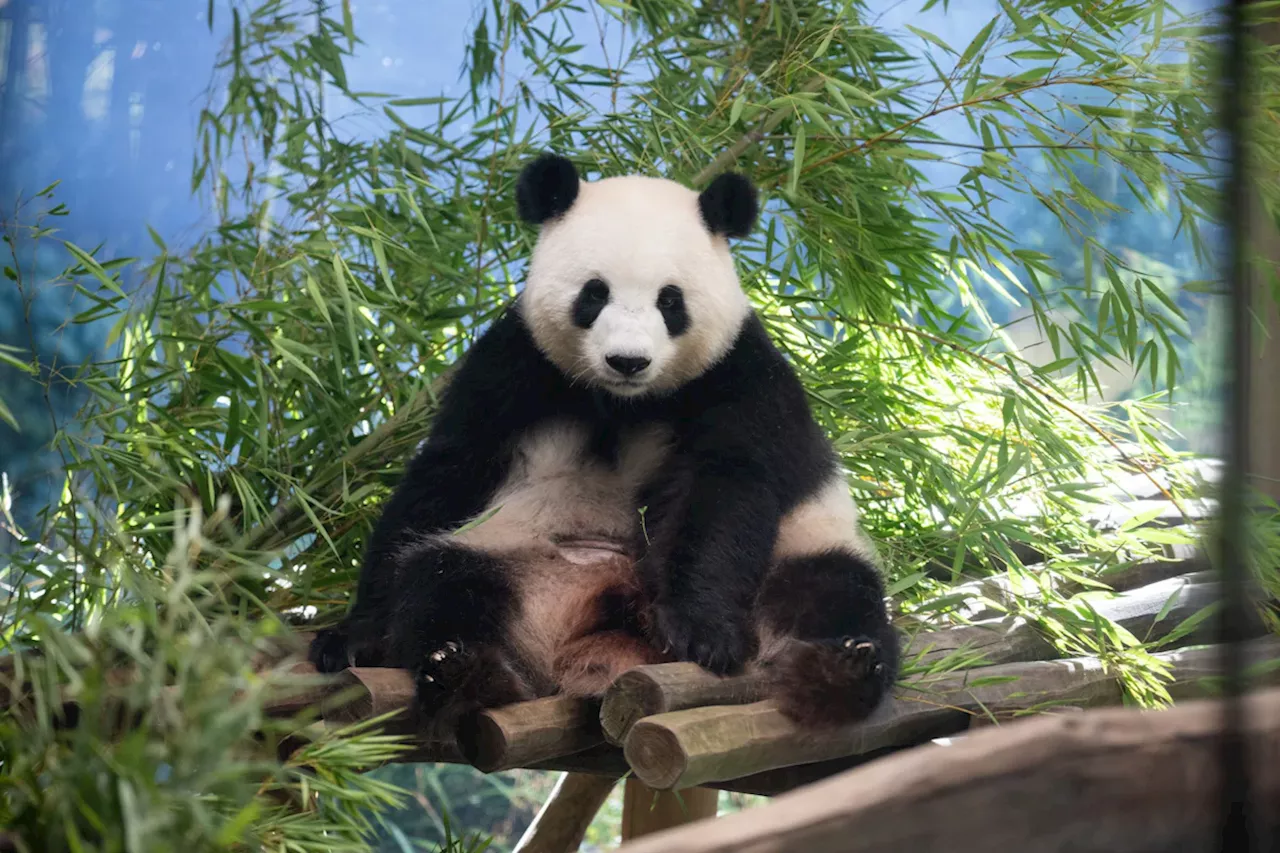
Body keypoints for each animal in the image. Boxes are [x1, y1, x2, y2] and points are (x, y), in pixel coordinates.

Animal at [312, 151, 901, 732]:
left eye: (671, 301)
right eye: (594, 294)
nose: (628, 360)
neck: (624, 401)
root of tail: (599, 637)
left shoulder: (738, 375)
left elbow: (725, 488)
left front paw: (704, 633)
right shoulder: (513, 364)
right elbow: (451, 469)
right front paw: (352, 635)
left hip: (801, 551)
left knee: (832, 592)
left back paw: (840, 670)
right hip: (516, 560)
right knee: (442, 581)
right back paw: (463, 670)